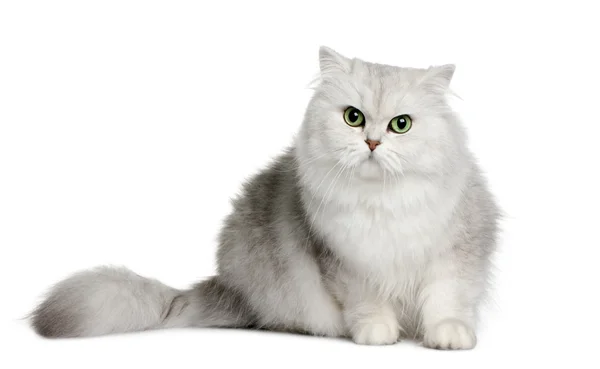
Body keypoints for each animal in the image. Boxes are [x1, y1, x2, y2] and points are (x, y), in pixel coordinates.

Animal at [30, 46, 500, 348]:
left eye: (401, 125)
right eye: (353, 118)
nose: (371, 143)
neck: (381, 202)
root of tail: (229, 288)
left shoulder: (457, 253)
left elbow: (446, 301)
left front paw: (449, 337)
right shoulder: (345, 265)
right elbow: (369, 305)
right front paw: (377, 334)